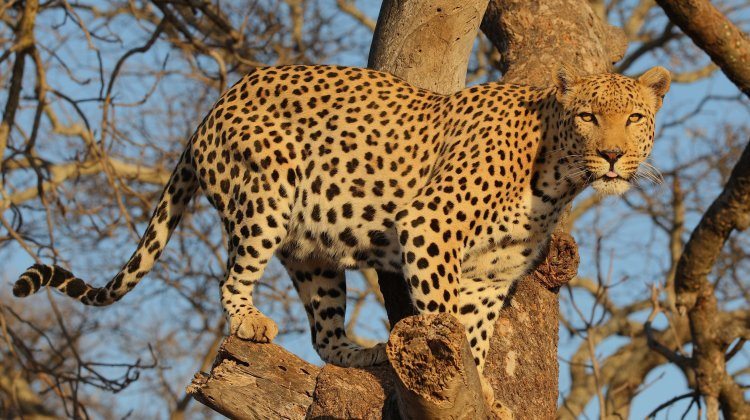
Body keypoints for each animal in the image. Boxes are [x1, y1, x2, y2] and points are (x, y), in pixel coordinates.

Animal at [13, 64, 670, 394]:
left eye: (636, 117)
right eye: (588, 117)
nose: (613, 156)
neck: (557, 177)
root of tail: (212, 107)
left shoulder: (491, 274)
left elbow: (478, 332)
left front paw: (481, 387)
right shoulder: (431, 226)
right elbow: (444, 317)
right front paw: (461, 373)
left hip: (314, 254)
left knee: (323, 335)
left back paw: (364, 351)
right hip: (267, 193)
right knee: (232, 277)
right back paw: (250, 322)